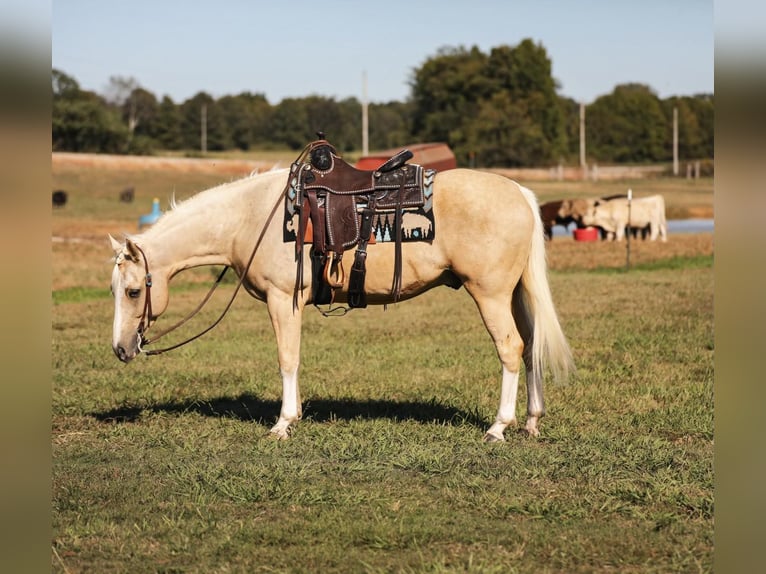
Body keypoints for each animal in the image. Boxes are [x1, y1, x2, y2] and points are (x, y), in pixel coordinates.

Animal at [111, 169, 572, 444]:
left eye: (132, 291)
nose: (121, 349)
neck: (251, 218)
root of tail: (519, 192)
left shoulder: (283, 299)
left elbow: (287, 359)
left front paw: (283, 422)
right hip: (515, 294)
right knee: (531, 347)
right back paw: (532, 420)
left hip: (490, 294)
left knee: (511, 348)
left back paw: (498, 427)